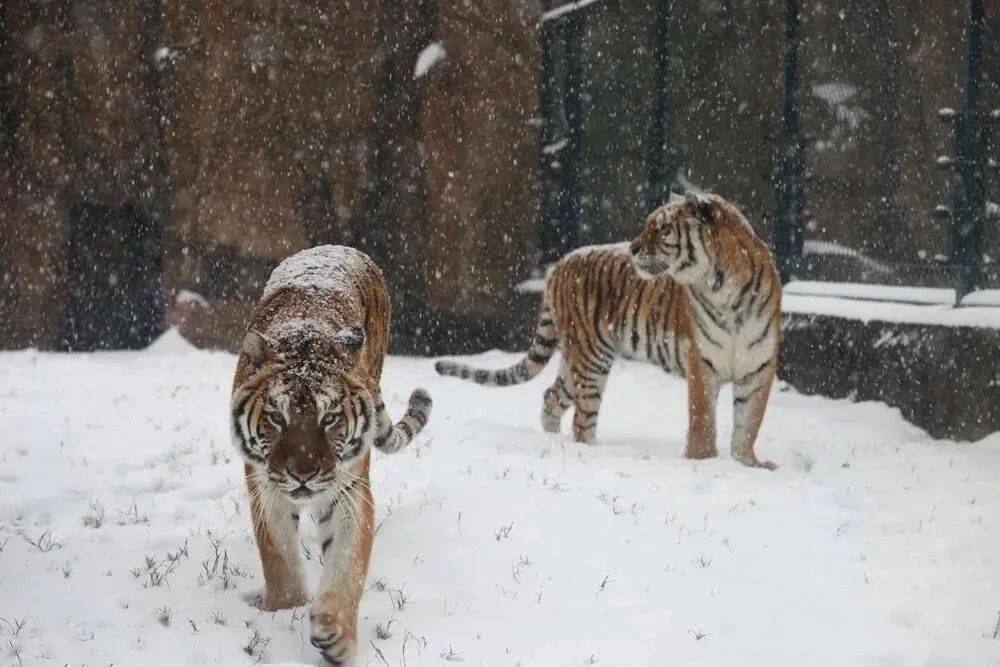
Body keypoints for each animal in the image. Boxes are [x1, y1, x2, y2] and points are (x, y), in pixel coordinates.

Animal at [230, 247, 434, 667]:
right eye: (277, 417)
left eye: (330, 418)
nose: (303, 474)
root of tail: (339, 247)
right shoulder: (265, 487)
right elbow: (280, 558)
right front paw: (285, 610)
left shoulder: (347, 489)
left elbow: (346, 565)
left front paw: (336, 637)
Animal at [438, 190, 780, 468]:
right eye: (648, 225)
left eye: (663, 229)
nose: (633, 248)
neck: (724, 292)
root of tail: (560, 263)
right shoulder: (702, 364)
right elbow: (703, 420)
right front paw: (703, 462)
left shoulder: (758, 367)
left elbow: (748, 424)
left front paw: (746, 464)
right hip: (591, 357)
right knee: (582, 420)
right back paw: (591, 453)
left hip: (574, 358)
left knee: (552, 396)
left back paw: (553, 440)